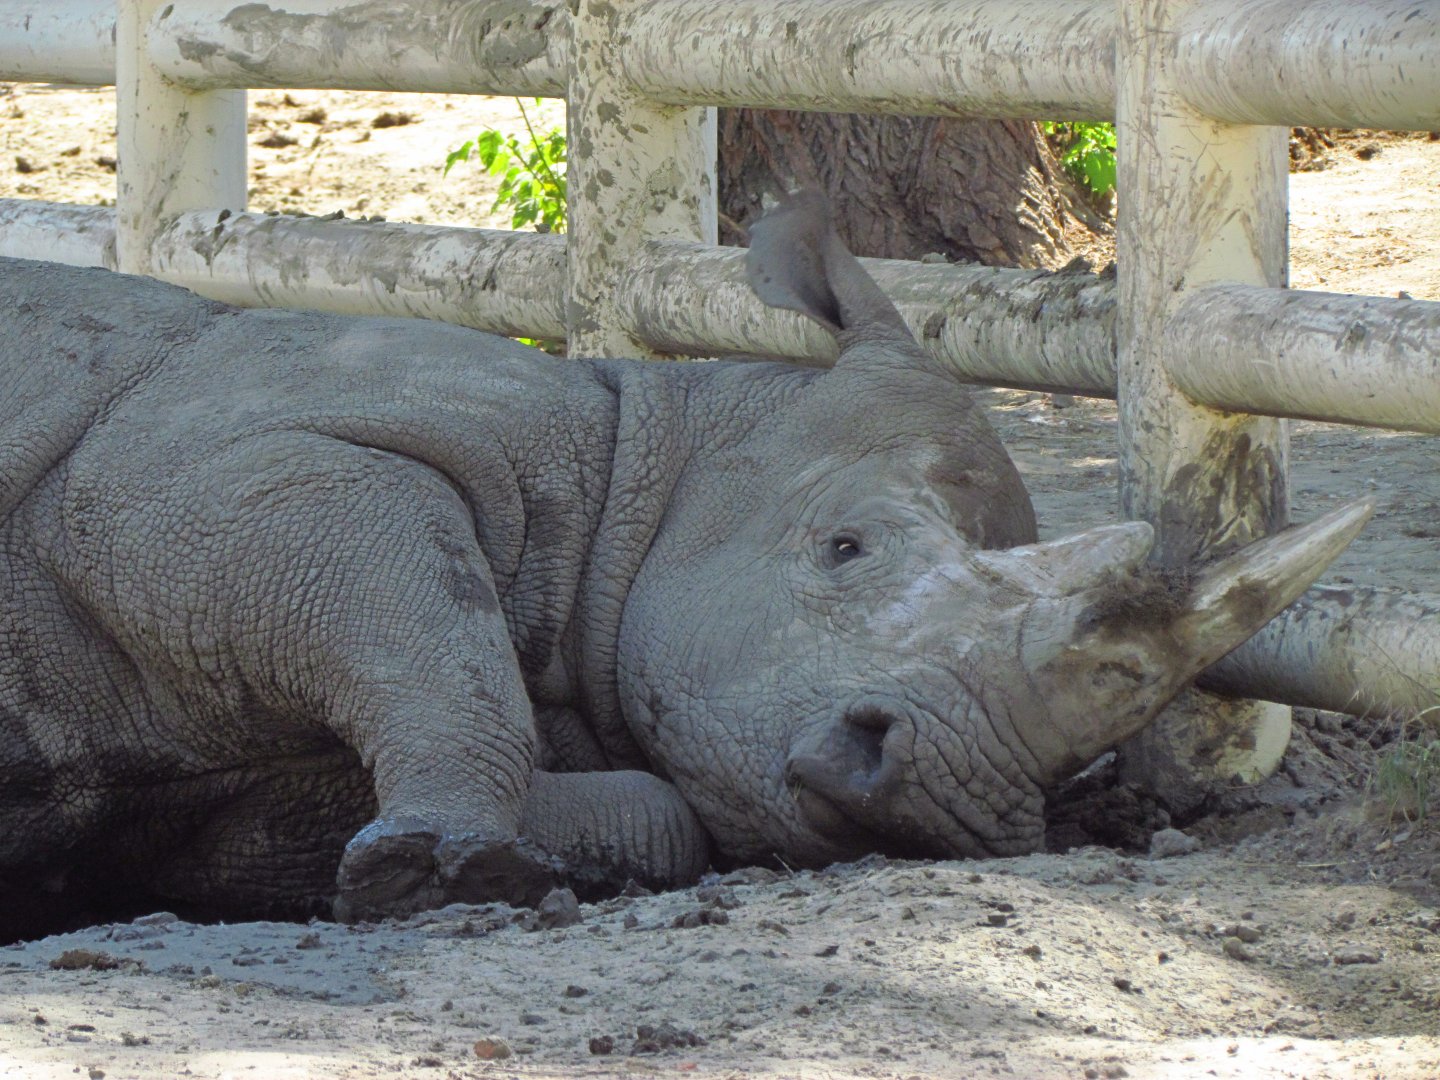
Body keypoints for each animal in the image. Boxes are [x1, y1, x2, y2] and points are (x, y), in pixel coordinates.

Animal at [0, 193, 1367, 938]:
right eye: (843, 547)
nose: (932, 787)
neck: (638, 475)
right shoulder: (249, 464)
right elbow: (430, 635)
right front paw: (442, 871)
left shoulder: (235, 781)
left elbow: (650, 805)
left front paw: (473, 866)